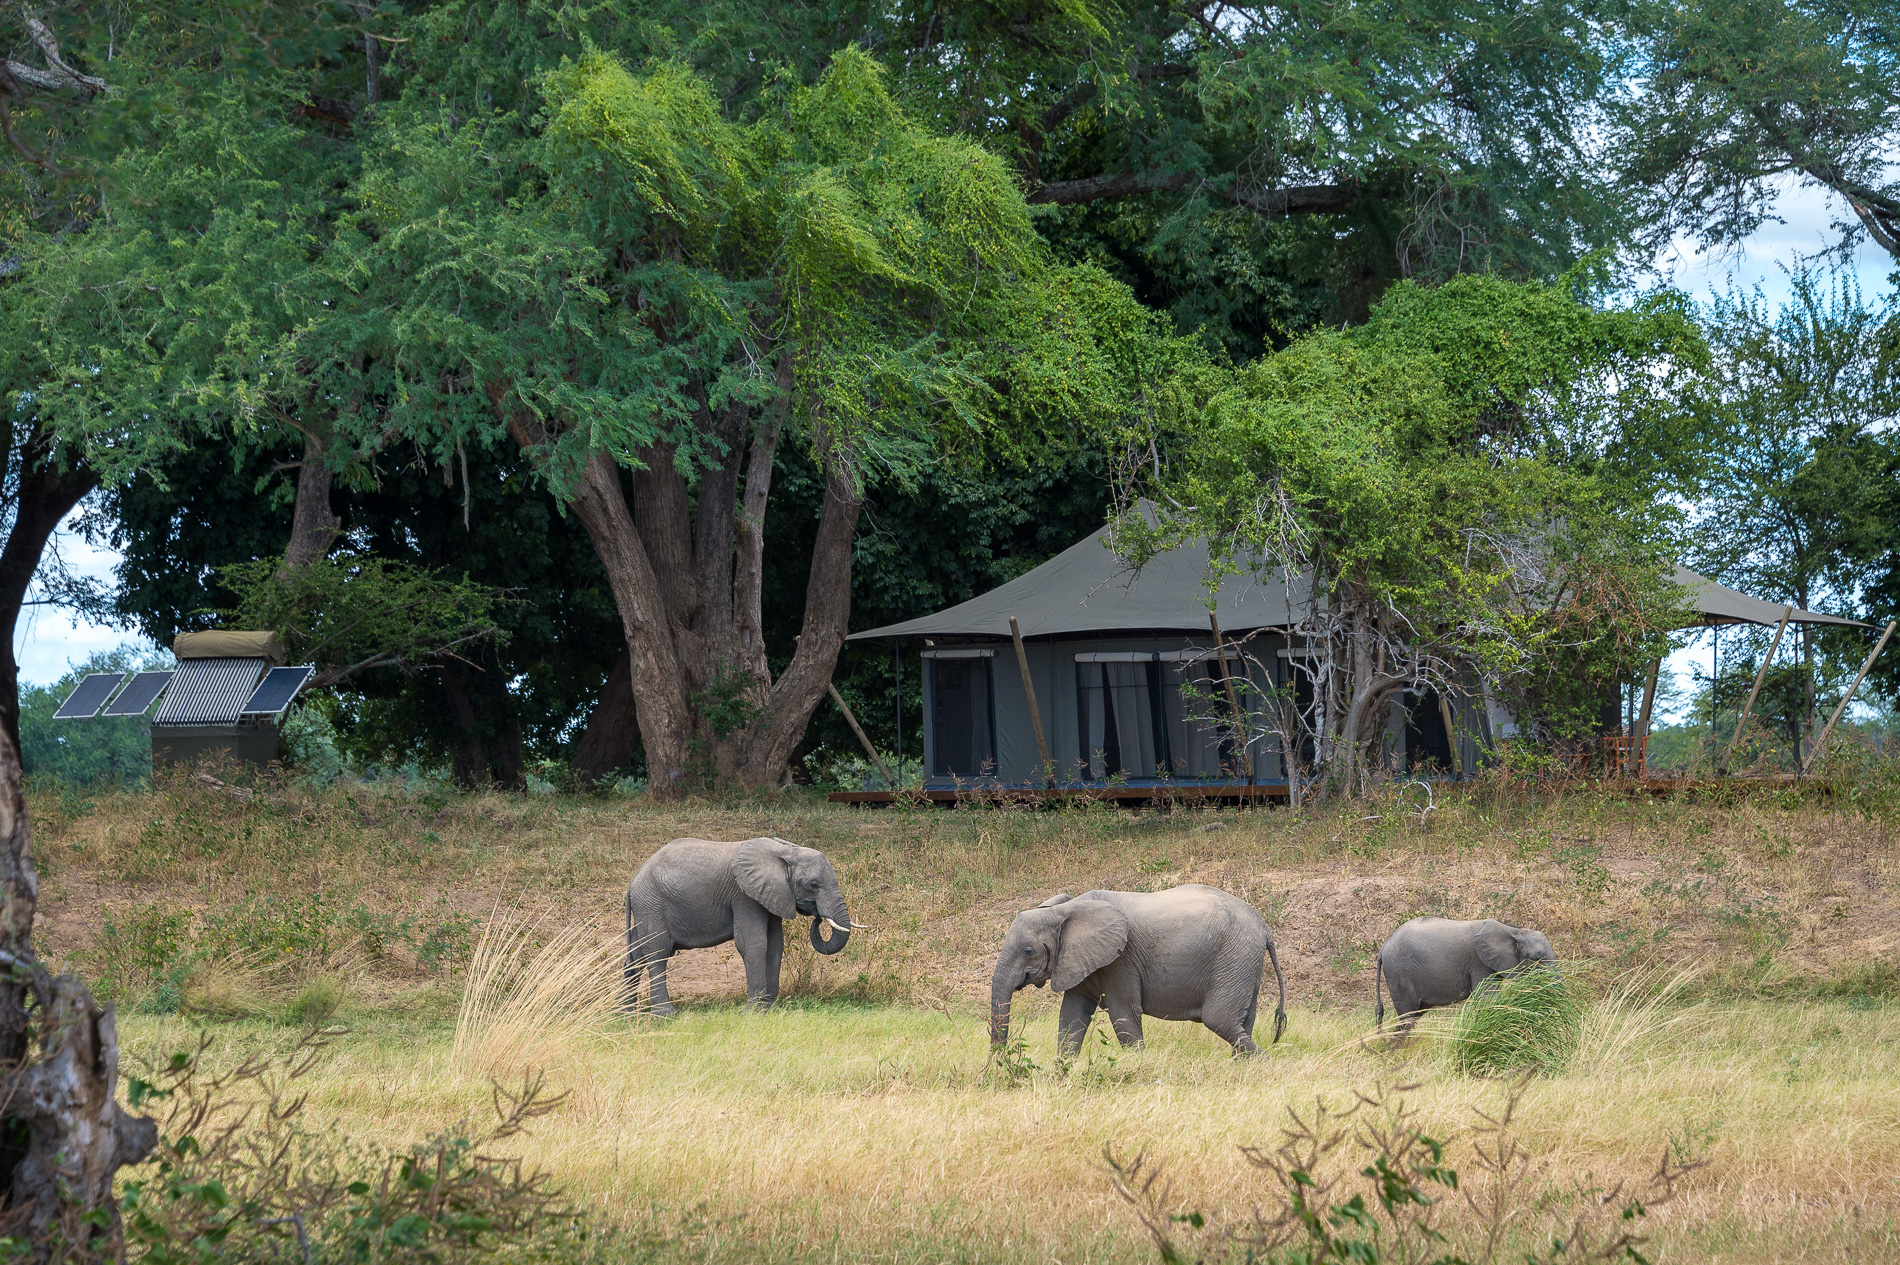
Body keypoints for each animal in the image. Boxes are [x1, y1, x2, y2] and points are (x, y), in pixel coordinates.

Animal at [623, 836, 862, 1014]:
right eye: (813, 885)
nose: (818, 917)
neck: (785, 852)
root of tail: (633, 880)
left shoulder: (770, 894)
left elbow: (775, 944)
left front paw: (769, 1008)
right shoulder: (744, 895)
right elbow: (753, 943)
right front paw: (753, 1012)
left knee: (635, 956)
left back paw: (625, 1013)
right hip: (651, 904)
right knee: (657, 953)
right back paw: (666, 1015)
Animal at [989, 884, 1287, 1059]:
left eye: (1028, 951)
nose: (999, 1063)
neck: (1064, 910)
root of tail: (1264, 926)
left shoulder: (1121, 960)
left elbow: (1124, 1015)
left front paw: (1140, 1068)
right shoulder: (1078, 958)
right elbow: (1072, 1016)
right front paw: (1061, 1075)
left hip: (1235, 955)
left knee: (1219, 1018)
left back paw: (1264, 1064)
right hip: (1244, 961)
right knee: (1242, 1021)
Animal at [1375, 916, 1557, 1043]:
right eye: (1538, 958)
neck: (1513, 930)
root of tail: (1383, 947)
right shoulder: (1479, 963)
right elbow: (1488, 999)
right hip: (1399, 972)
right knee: (1407, 1016)